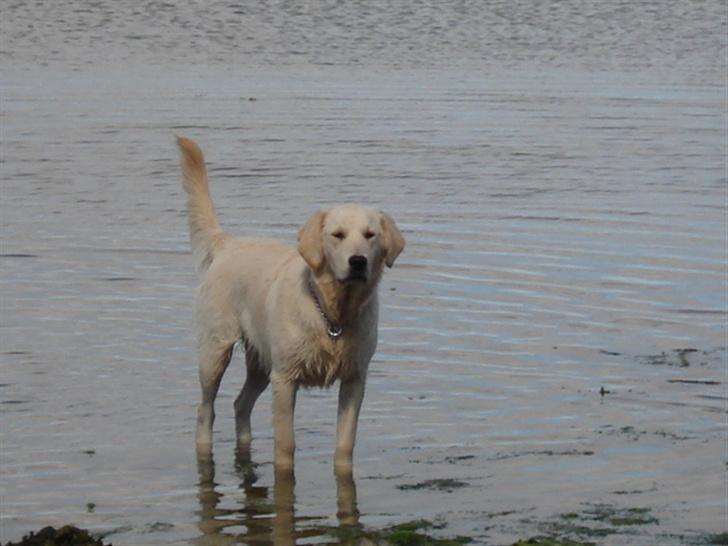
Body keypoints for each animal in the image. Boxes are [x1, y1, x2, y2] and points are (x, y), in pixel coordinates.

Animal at [176, 137, 404, 468]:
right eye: (337, 235)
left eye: (370, 235)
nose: (358, 261)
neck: (332, 316)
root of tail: (229, 243)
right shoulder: (285, 379)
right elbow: (285, 445)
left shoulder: (355, 379)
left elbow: (345, 445)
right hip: (215, 350)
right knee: (206, 410)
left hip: (261, 360)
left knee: (240, 404)